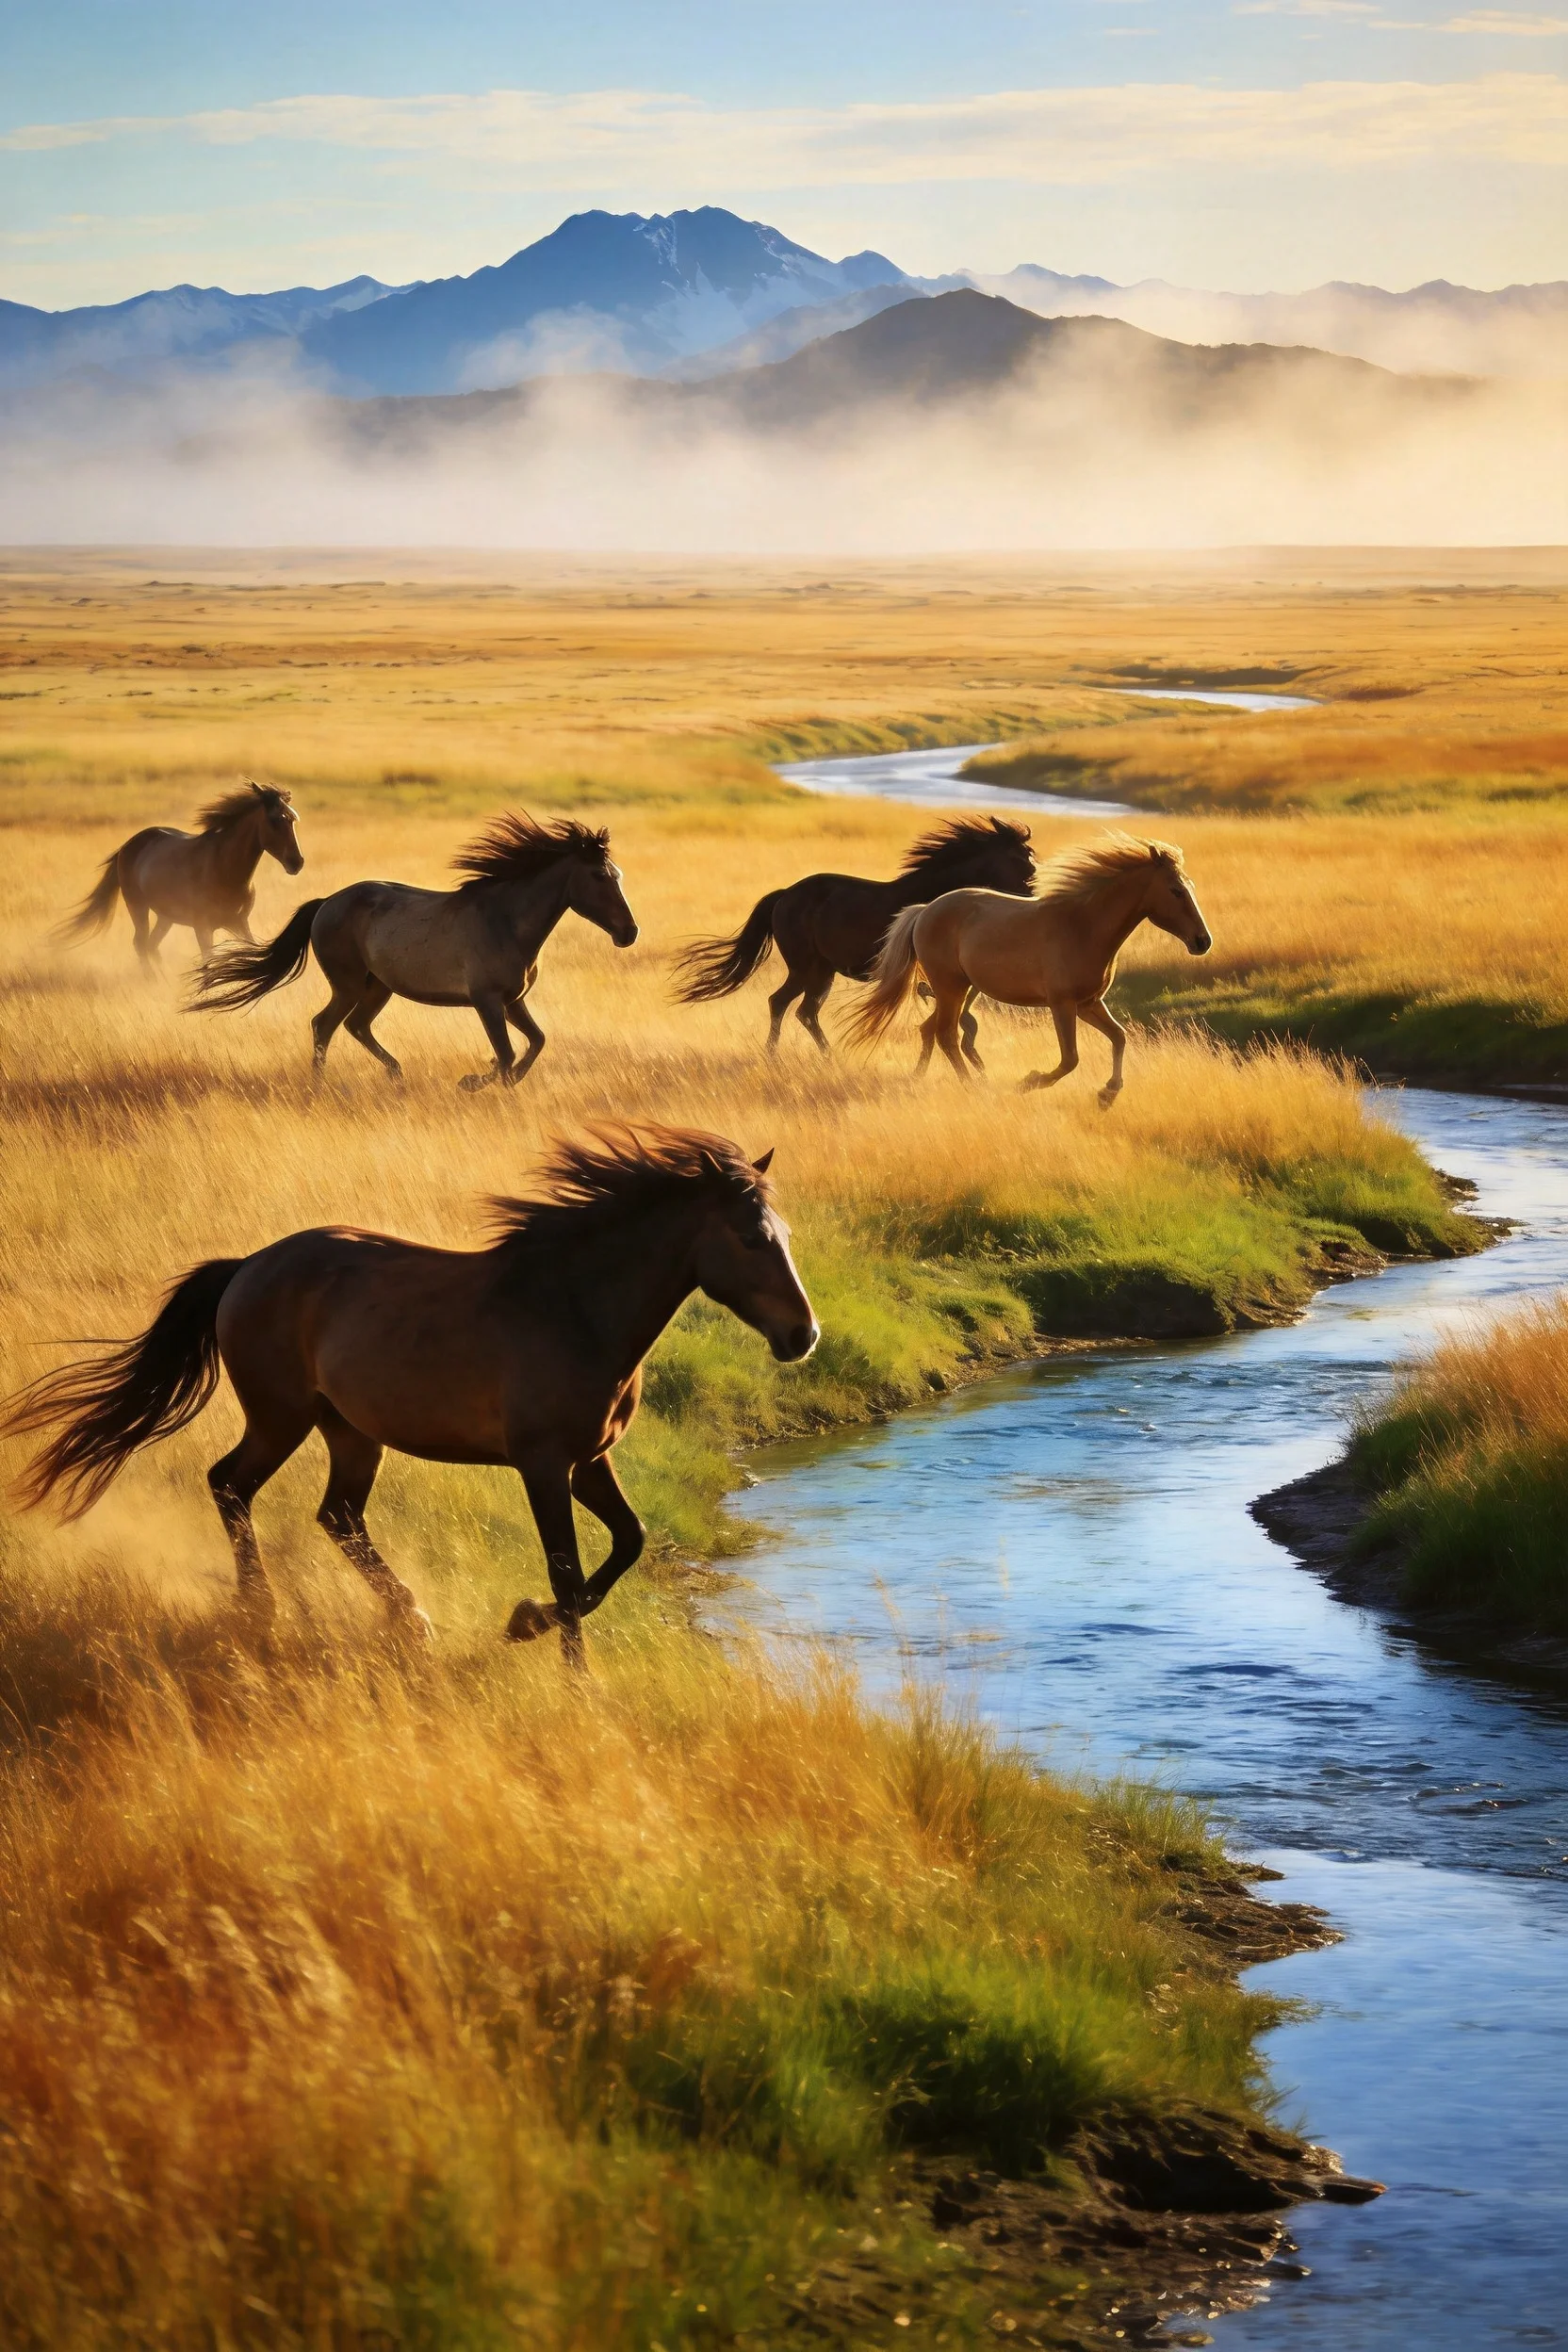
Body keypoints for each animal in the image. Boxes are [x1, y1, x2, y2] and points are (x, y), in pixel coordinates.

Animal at [2, 1125, 818, 1668]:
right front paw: (564, 1661)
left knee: (335, 1515)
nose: (802, 1335)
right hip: (281, 1417)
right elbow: (568, 1566)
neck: (573, 1308)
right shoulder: (543, 1465)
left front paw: (526, 1622)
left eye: (783, 1232)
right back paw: (262, 1610)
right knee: (231, 1484)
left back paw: (408, 1618)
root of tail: (247, 1267)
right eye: (751, 1238)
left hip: (349, 1432)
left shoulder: (590, 1461)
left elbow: (629, 1542)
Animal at [58, 784, 304, 972]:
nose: (297, 862)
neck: (224, 871)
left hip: (165, 916)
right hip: (137, 906)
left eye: (292, 819)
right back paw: (153, 980)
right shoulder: (203, 928)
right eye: (273, 820)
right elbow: (208, 963)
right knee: (141, 943)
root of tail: (127, 847)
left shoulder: (239, 923)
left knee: (151, 945)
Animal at [191, 812, 638, 1091]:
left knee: (355, 1026)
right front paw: (473, 1083)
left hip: (378, 987)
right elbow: (509, 1053)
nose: (629, 932)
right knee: (324, 1026)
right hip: (349, 986)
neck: (506, 921)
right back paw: (321, 1086)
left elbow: (535, 1043)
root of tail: (326, 903)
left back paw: (395, 1074)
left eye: (618, 874)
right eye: (599, 876)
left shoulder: (513, 1001)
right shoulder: (487, 1002)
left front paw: (485, 1079)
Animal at [672, 814, 1036, 1056]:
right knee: (781, 1003)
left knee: (805, 1011)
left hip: (822, 971)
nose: (1032, 894)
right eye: (1020, 859)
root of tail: (785, 895)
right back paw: (779, 1055)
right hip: (804, 968)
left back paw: (828, 1057)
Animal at [846, 833, 1212, 1107]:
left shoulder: (1089, 1004)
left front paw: (1107, 1095)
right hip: (951, 988)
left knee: (930, 1030)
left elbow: (1119, 1037)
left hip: (956, 990)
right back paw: (973, 1086)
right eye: (1176, 890)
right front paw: (1029, 1082)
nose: (1203, 941)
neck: (1082, 927)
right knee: (946, 1034)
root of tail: (924, 910)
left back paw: (924, 1077)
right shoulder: (1062, 1005)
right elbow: (1070, 1059)